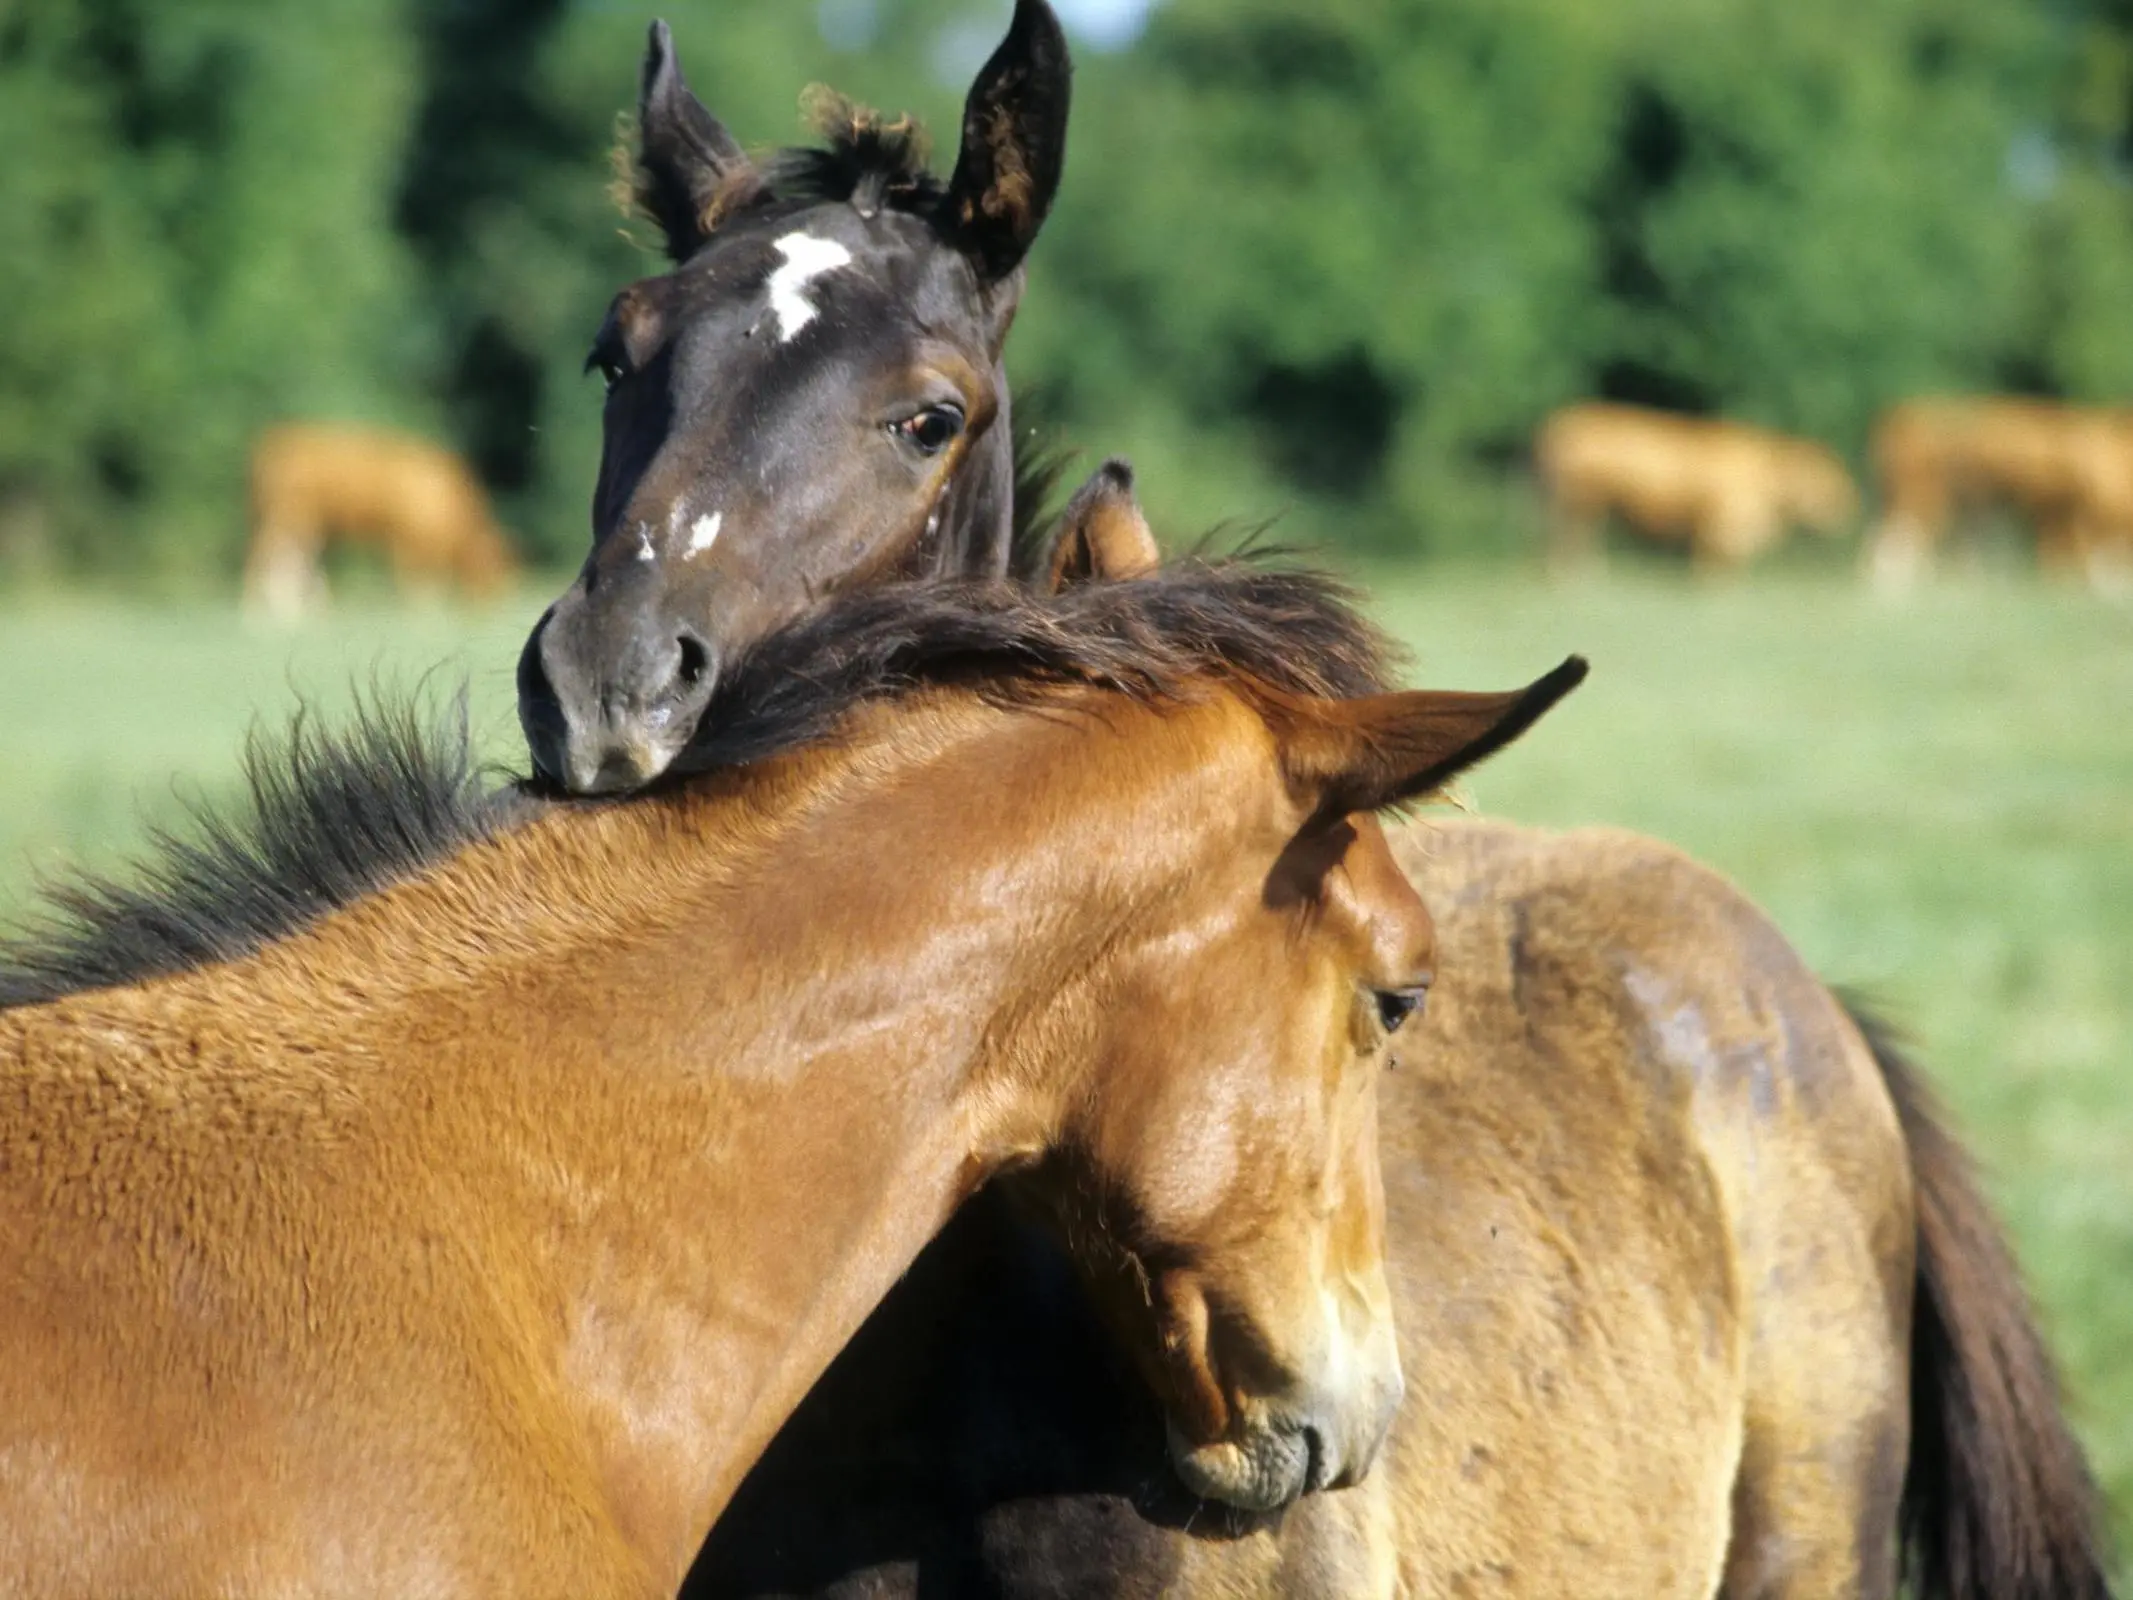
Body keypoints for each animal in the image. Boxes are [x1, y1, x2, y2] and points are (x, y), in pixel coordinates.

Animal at [243, 422, 520, 622]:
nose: (488, 614)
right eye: (490, 572)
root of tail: (277, 440)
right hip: (285, 515)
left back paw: (306, 611)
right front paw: (422, 614)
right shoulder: (406, 537)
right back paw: (257, 616)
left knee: (294, 560)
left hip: (305, 522)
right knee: (267, 556)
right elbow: (416, 579)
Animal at [1544, 401, 1859, 576]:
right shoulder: (1719, 529)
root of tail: (1561, 423)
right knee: (1572, 542)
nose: (1849, 505)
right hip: (1580, 503)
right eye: (1828, 476)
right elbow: (1712, 573)